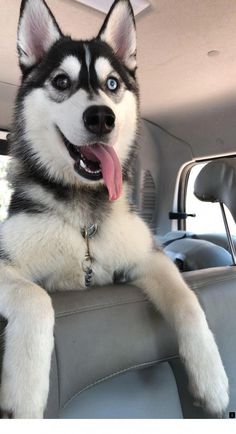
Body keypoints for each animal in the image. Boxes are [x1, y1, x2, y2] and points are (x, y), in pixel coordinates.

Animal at [0, 0, 230, 420]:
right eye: (61, 82)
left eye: (112, 84)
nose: (101, 117)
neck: (85, 216)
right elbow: (35, 297)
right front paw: (24, 396)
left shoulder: (148, 258)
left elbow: (188, 300)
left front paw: (213, 380)